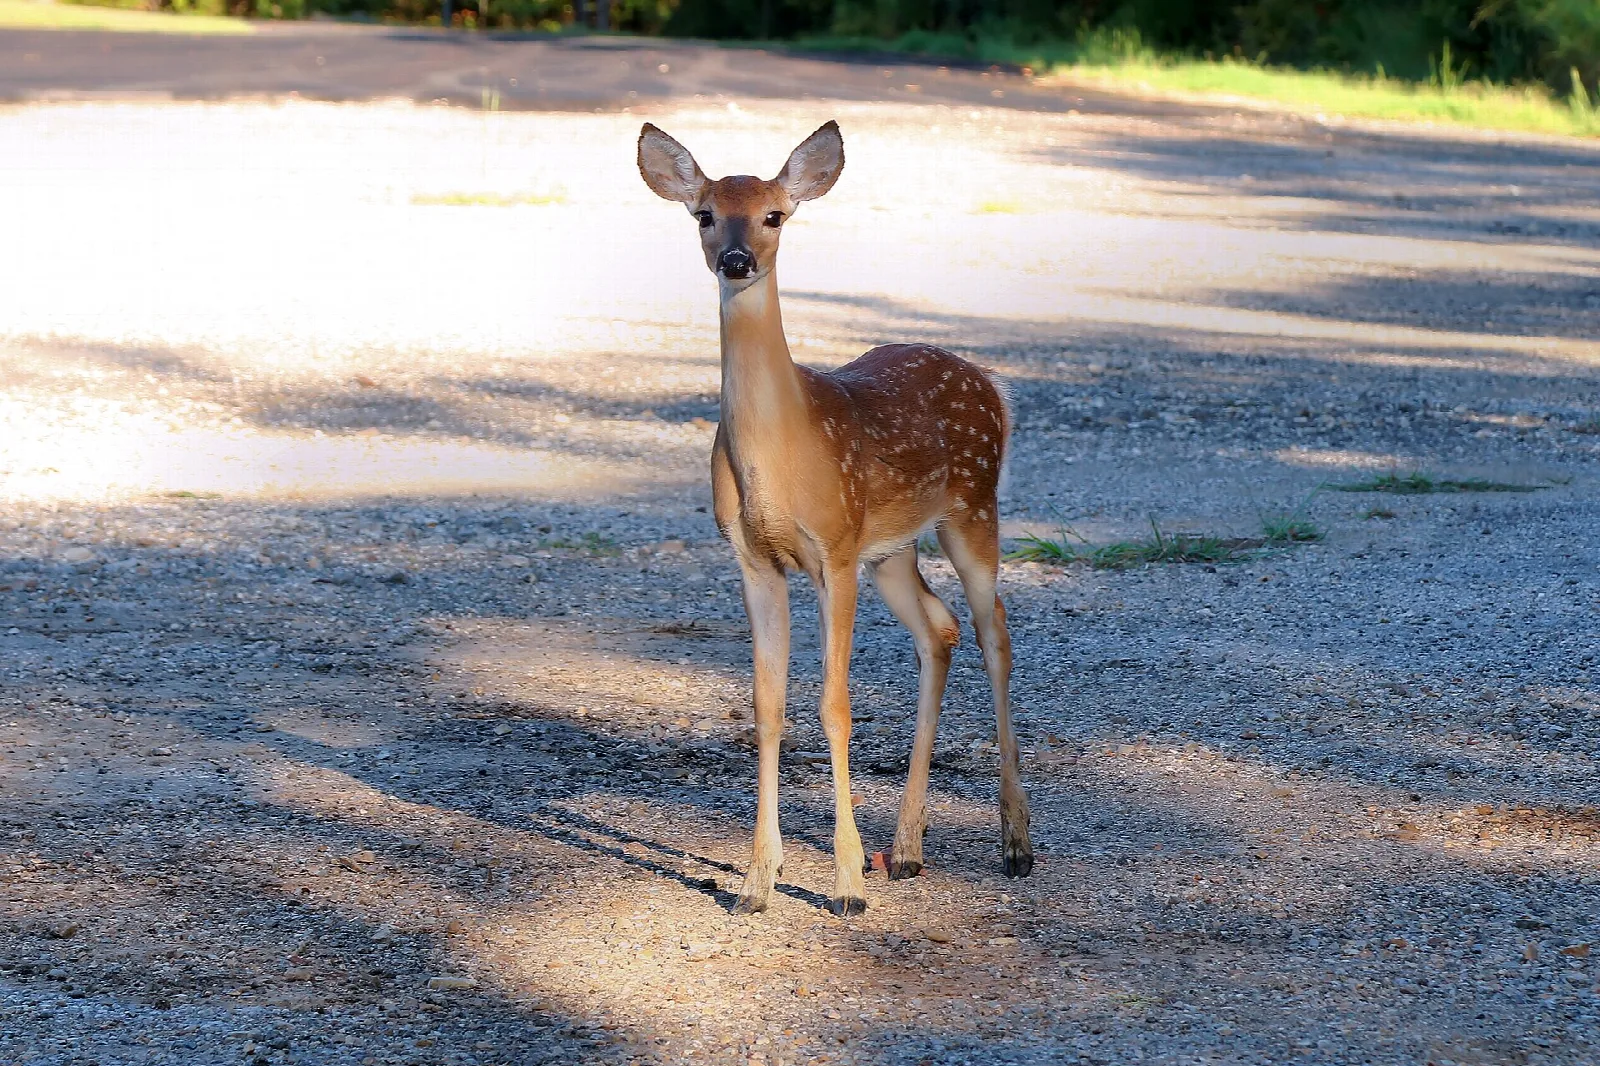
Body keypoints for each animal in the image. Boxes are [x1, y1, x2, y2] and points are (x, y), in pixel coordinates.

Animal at [637, 120, 1033, 916]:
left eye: (774, 215)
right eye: (703, 214)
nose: (735, 260)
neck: (783, 451)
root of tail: (993, 385)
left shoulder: (835, 551)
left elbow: (835, 705)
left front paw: (847, 883)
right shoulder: (756, 560)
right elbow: (767, 705)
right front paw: (757, 881)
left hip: (972, 508)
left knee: (995, 631)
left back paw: (1015, 842)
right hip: (894, 553)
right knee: (940, 630)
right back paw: (907, 849)